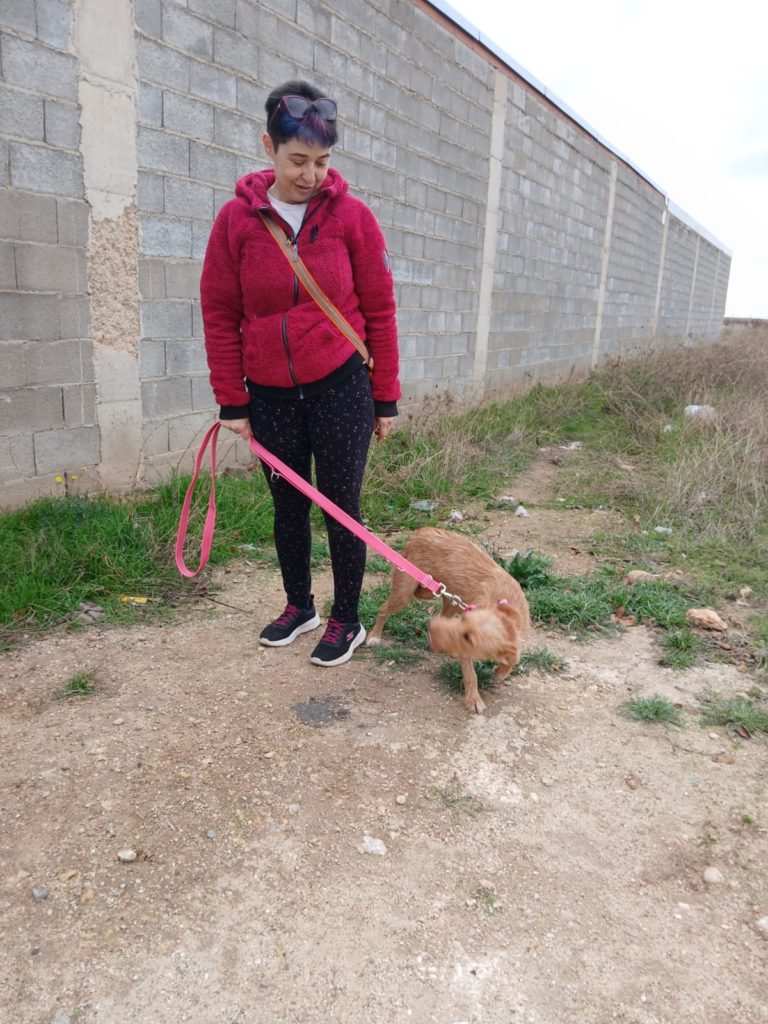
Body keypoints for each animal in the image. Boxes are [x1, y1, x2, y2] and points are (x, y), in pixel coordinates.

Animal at [366, 528, 528, 712]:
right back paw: (374, 636)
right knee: (383, 609)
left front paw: (501, 672)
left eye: (467, 637)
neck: (502, 602)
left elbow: (514, 658)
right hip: (405, 593)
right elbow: (471, 675)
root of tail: (421, 531)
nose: (433, 631)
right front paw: (473, 699)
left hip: (449, 601)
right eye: (463, 624)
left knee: (439, 614)